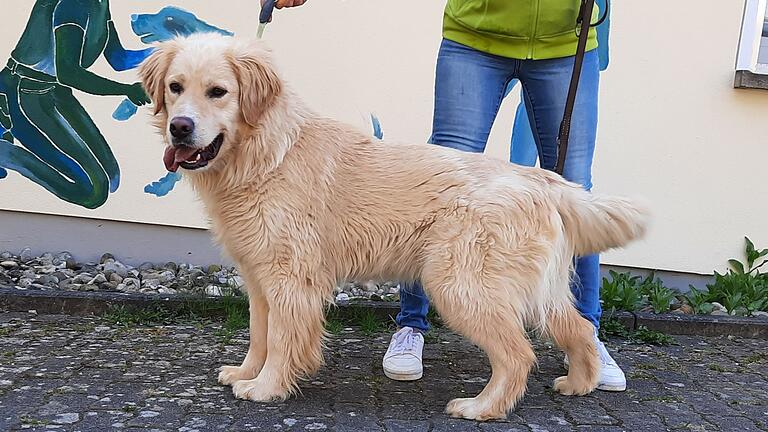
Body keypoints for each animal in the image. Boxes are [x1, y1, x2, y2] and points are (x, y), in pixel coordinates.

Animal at [136, 34, 648, 422]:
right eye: (176, 87)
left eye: (218, 92)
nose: (180, 127)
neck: (266, 152)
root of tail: (542, 179)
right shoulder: (258, 278)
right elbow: (259, 334)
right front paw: (247, 373)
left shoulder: (289, 279)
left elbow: (281, 338)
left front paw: (267, 387)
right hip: (533, 291)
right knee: (578, 328)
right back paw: (579, 384)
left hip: (458, 285)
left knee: (519, 354)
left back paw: (481, 407)